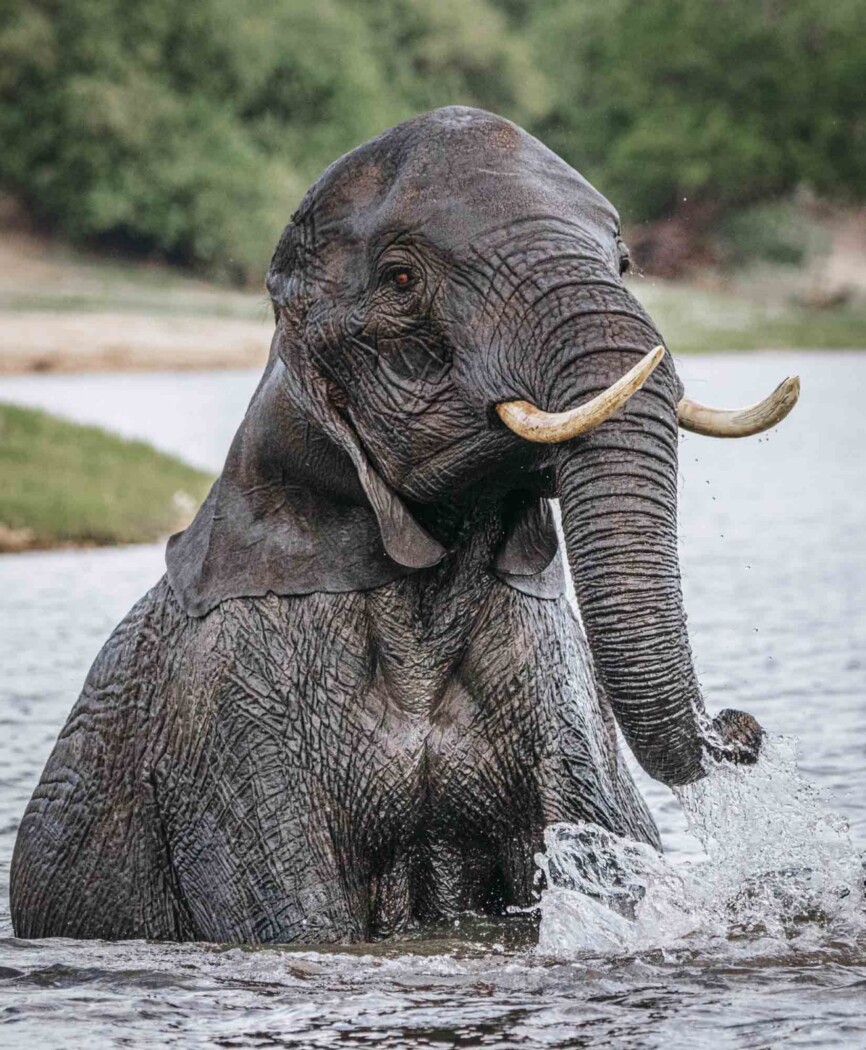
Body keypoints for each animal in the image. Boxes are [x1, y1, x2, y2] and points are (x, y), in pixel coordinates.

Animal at [13, 106, 797, 944]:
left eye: (622, 261)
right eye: (400, 279)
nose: (742, 729)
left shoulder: (559, 696)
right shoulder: (229, 725)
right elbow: (303, 920)